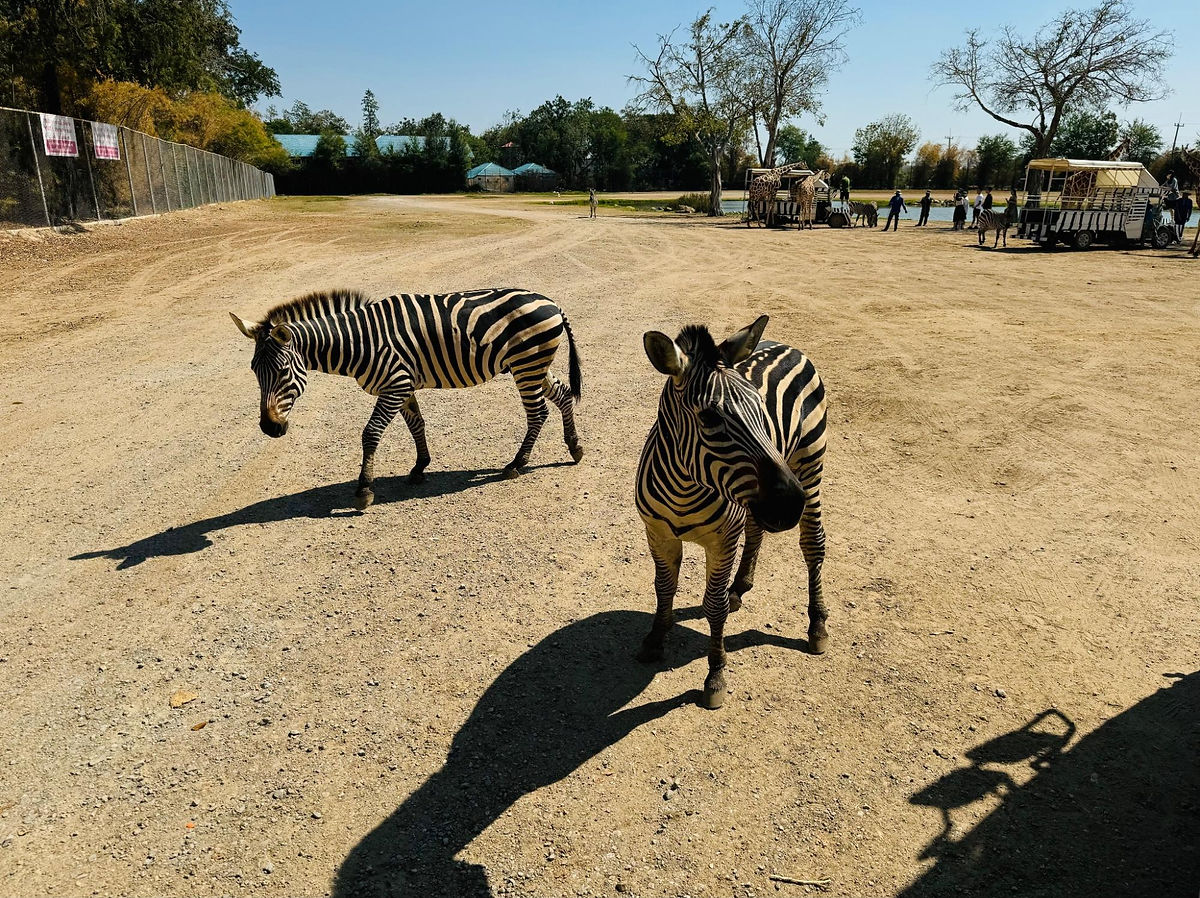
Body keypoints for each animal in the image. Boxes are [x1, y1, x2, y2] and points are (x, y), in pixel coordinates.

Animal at [230, 287, 583, 509]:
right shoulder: (403, 386)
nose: (269, 428)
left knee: (537, 413)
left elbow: (370, 434)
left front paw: (364, 490)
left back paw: (517, 464)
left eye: (282, 370)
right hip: (533, 365)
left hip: (527, 364)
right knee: (564, 395)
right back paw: (575, 448)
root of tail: (551, 302)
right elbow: (417, 425)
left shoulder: (395, 386)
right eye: (253, 370)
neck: (361, 343)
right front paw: (419, 467)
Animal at [635, 316, 828, 709]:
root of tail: (785, 344)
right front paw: (655, 639)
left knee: (813, 546)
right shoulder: (658, 534)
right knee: (756, 529)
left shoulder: (722, 541)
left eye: (761, 409)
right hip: (758, 502)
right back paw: (741, 585)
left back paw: (817, 625)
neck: (684, 487)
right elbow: (663, 588)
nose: (789, 505)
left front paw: (715, 676)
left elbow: (714, 606)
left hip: (810, 468)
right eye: (710, 417)